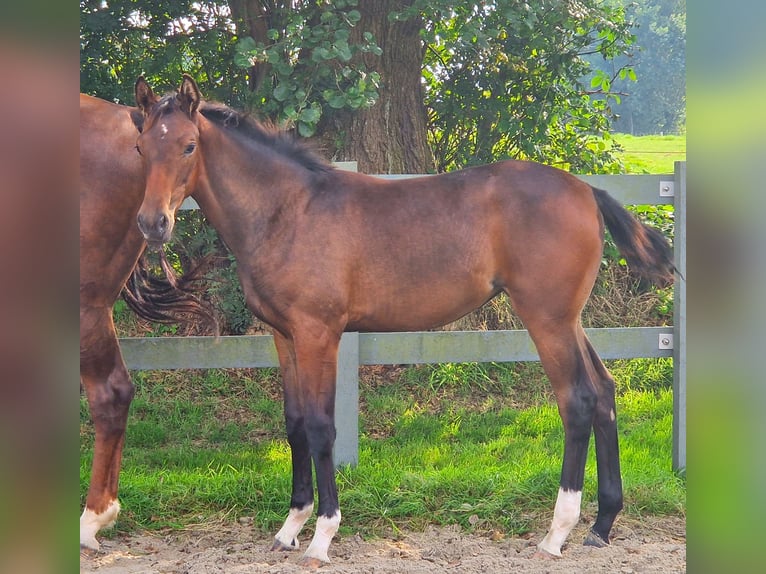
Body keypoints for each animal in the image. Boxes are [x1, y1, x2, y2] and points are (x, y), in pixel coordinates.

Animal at [134, 75, 680, 568]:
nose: (151, 223)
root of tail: (586, 190)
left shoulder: (318, 335)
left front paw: (322, 536)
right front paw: (290, 527)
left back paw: (557, 532)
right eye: (141, 147)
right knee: (604, 391)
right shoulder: (284, 336)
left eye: (188, 145)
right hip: (570, 320)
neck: (288, 210)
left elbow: (320, 426)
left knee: (578, 400)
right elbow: (294, 424)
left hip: (547, 320)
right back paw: (602, 525)